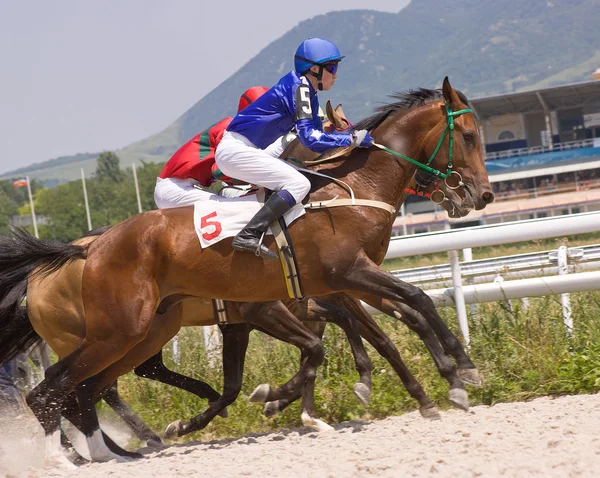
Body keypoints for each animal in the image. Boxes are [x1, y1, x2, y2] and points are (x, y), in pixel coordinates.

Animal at [0, 77, 492, 464]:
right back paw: (78, 456)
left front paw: (437, 383)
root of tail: (89, 248)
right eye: (469, 136)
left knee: (86, 390)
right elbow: (402, 309)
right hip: (114, 331)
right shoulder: (329, 282)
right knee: (60, 389)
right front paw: (460, 371)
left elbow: (395, 318)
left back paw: (116, 450)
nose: (479, 195)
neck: (350, 190)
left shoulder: (339, 284)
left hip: (140, 332)